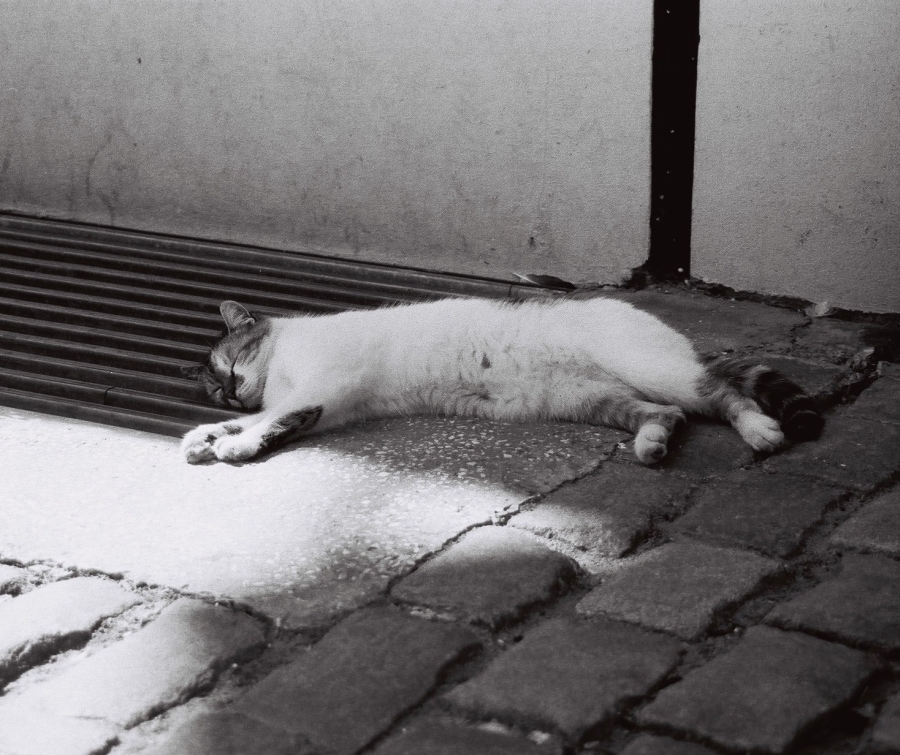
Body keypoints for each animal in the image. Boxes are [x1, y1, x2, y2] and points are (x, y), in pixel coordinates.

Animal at [180, 296, 822, 465]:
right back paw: (652, 444)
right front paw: (208, 433)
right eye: (215, 388)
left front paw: (234, 442)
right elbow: (271, 417)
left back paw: (761, 432)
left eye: (231, 368)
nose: (229, 392)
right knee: (668, 415)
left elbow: (275, 419)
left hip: (657, 371)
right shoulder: (324, 403)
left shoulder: (322, 385)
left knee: (720, 392)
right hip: (587, 398)